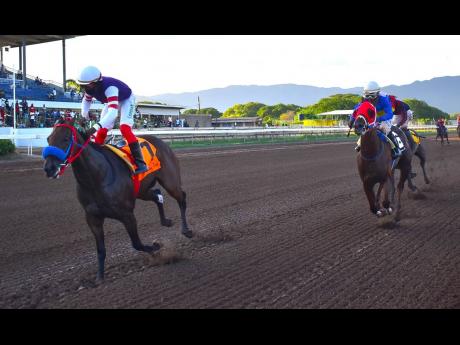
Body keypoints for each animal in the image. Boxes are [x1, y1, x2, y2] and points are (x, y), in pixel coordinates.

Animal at [43, 117, 192, 280]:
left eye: (65, 139)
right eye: (48, 138)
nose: (49, 168)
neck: (97, 177)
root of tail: (161, 142)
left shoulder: (127, 214)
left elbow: (137, 243)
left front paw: (156, 248)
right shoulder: (93, 218)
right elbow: (101, 250)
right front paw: (100, 277)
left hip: (170, 182)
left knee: (181, 198)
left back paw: (186, 230)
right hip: (141, 190)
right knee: (157, 194)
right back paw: (166, 221)